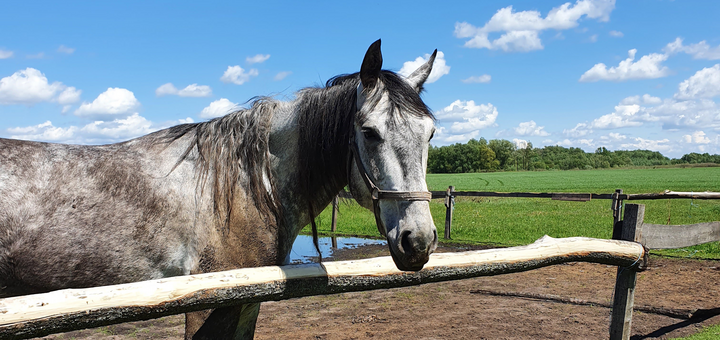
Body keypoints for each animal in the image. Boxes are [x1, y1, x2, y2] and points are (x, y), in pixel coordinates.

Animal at [0, 39, 438, 338]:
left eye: (431, 133)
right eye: (369, 132)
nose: (418, 240)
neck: (247, 188)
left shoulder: (246, 304)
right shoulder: (208, 306)